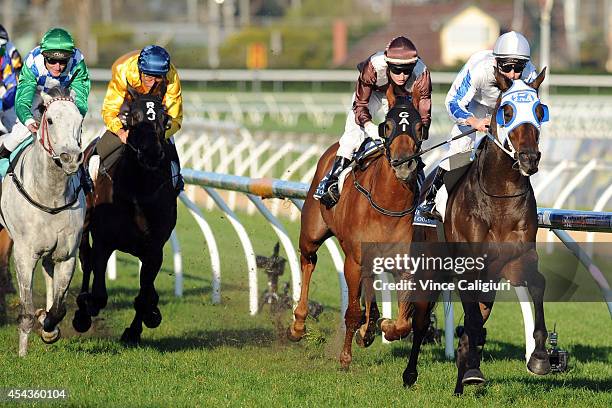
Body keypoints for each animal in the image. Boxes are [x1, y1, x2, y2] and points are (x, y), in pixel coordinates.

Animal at [0, 87, 85, 356]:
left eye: (80, 120)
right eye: (50, 120)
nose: (70, 158)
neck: (50, 195)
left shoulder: (67, 254)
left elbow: (58, 307)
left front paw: (48, 327)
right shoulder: (25, 254)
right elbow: (26, 308)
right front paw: (22, 354)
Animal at [286, 87, 426, 370]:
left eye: (419, 127)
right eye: (388, 126)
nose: (404, 163)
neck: (388, 205)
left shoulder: (404, 264)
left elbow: (403, 324)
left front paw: (383, 325)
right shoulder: (354, 261)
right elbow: (351, 311)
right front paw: (345, 357)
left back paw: (369, 327)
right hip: (312, 232)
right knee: (308, 261)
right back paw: (298, 324)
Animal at [382, 67, 548, 396]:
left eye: (539, 111)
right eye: (507, 111)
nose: (529, 158)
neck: (499, 197)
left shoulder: (520, 257)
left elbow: (537, 285)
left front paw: (539, 358)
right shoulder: (466, 265)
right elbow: (468, 321)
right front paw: (472, 369)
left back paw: (462, 379)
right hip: (429, 268)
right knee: (422, 322)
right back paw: (412, 374)